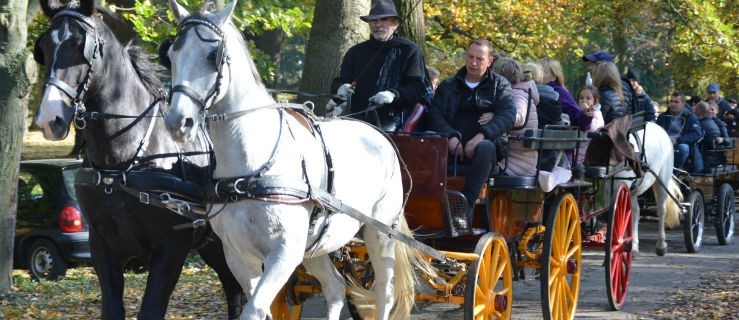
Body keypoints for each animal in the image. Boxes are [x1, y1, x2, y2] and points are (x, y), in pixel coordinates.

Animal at [32, 0, 246, 320]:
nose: (49, 119)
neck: (121, 164)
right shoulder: (102, 247)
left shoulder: (170, 248)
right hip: (214, 246)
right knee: (235, 294)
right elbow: (111, 309)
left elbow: (150, 310)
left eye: (81, 45)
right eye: (44, 47)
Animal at [162, 1, 428, 318]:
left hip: (380, 234)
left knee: (383, 293)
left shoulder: (284, 252)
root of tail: (378, 133)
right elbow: (262, 309)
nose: (178, 123)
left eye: (212, 55)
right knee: (336, 286)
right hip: (316, 245)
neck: (251, 169)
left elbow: (255, 309)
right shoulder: (238, 255)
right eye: (171, 55)